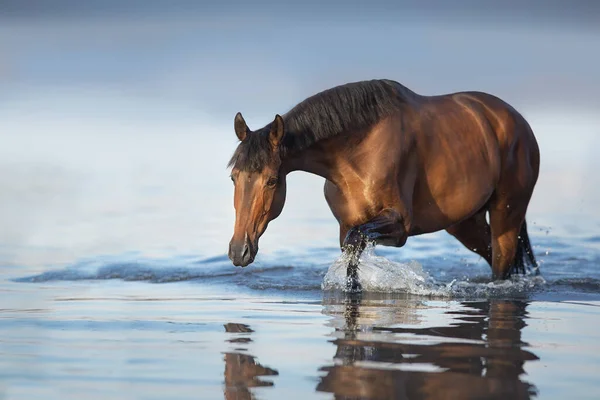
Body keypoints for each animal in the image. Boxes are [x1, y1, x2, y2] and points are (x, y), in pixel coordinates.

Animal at [227, 79, 540, 290]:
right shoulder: (347, 226)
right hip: (465, 223)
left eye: (271, 180)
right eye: (234, 177)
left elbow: (355, 245)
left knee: (501, 265)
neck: (356, 154)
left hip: (506, 217)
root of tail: (514, 120)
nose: (238, 251)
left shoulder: (399, 225)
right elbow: (351, 254)